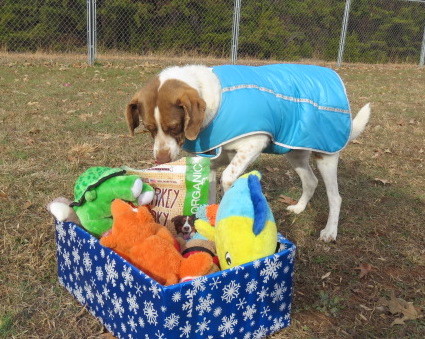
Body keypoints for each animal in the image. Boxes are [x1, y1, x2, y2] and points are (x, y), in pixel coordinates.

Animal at [124, 65, 370, 242]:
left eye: (174, 127)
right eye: (149, 129)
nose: (161, 159)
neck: (214, 102)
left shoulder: (254, 143)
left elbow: (227, 177)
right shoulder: (215, 158)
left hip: (326, 154)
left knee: (335, 197)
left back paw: (330, 232)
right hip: (295, 150)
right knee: (310, 181)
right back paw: (299, 208)